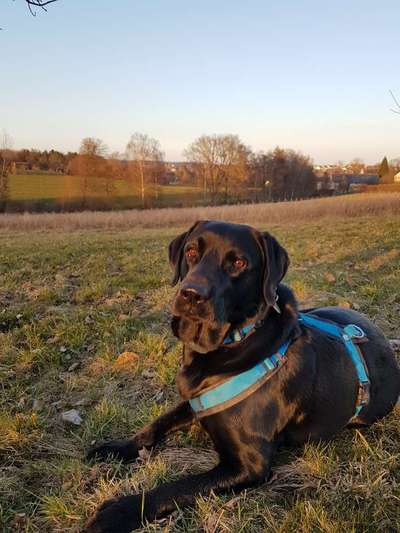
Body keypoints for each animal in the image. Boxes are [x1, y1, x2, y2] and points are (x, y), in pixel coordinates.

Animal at [85, 218, 400, 528]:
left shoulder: (249, 464)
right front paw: (117, 448)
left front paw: (119, 512)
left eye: (238, 262)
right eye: (190, 252)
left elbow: (178, 486)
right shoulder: (195, 400)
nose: (191, 294)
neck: (233, 342)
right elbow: (157, 423)